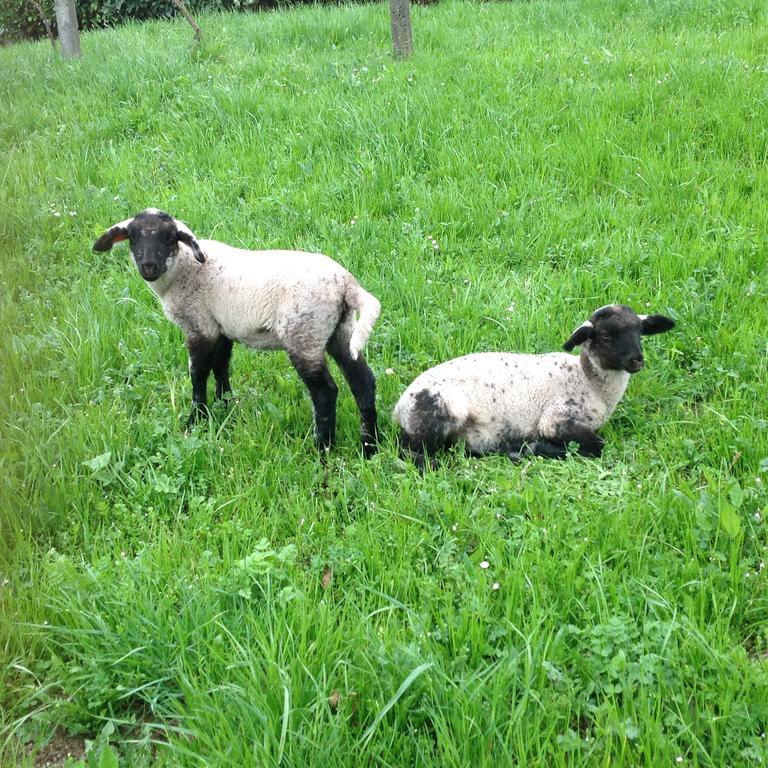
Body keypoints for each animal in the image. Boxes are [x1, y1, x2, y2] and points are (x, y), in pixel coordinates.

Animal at [94, 207, 382, 452]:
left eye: (170, 238)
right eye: (133, 237)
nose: (149, 267)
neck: (183, 269)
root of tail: (346, 283)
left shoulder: (200, 325)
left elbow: (198, 374)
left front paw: (196, 420)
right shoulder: (221, 328)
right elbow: (221, 367)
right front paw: (225, 405)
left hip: (304, 333)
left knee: (325, 392)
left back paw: (323, 448)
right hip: (340, 331)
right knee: (364, 382)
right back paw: (369, 447)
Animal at [392, 304, 676, 472]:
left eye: (639, 332)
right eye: (605, 336)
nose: (636, 360)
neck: (588, 381)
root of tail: (399, 408)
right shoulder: (555, 419)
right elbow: (598, 444)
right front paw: (545, 448)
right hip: (443, 410)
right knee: (410, 451)